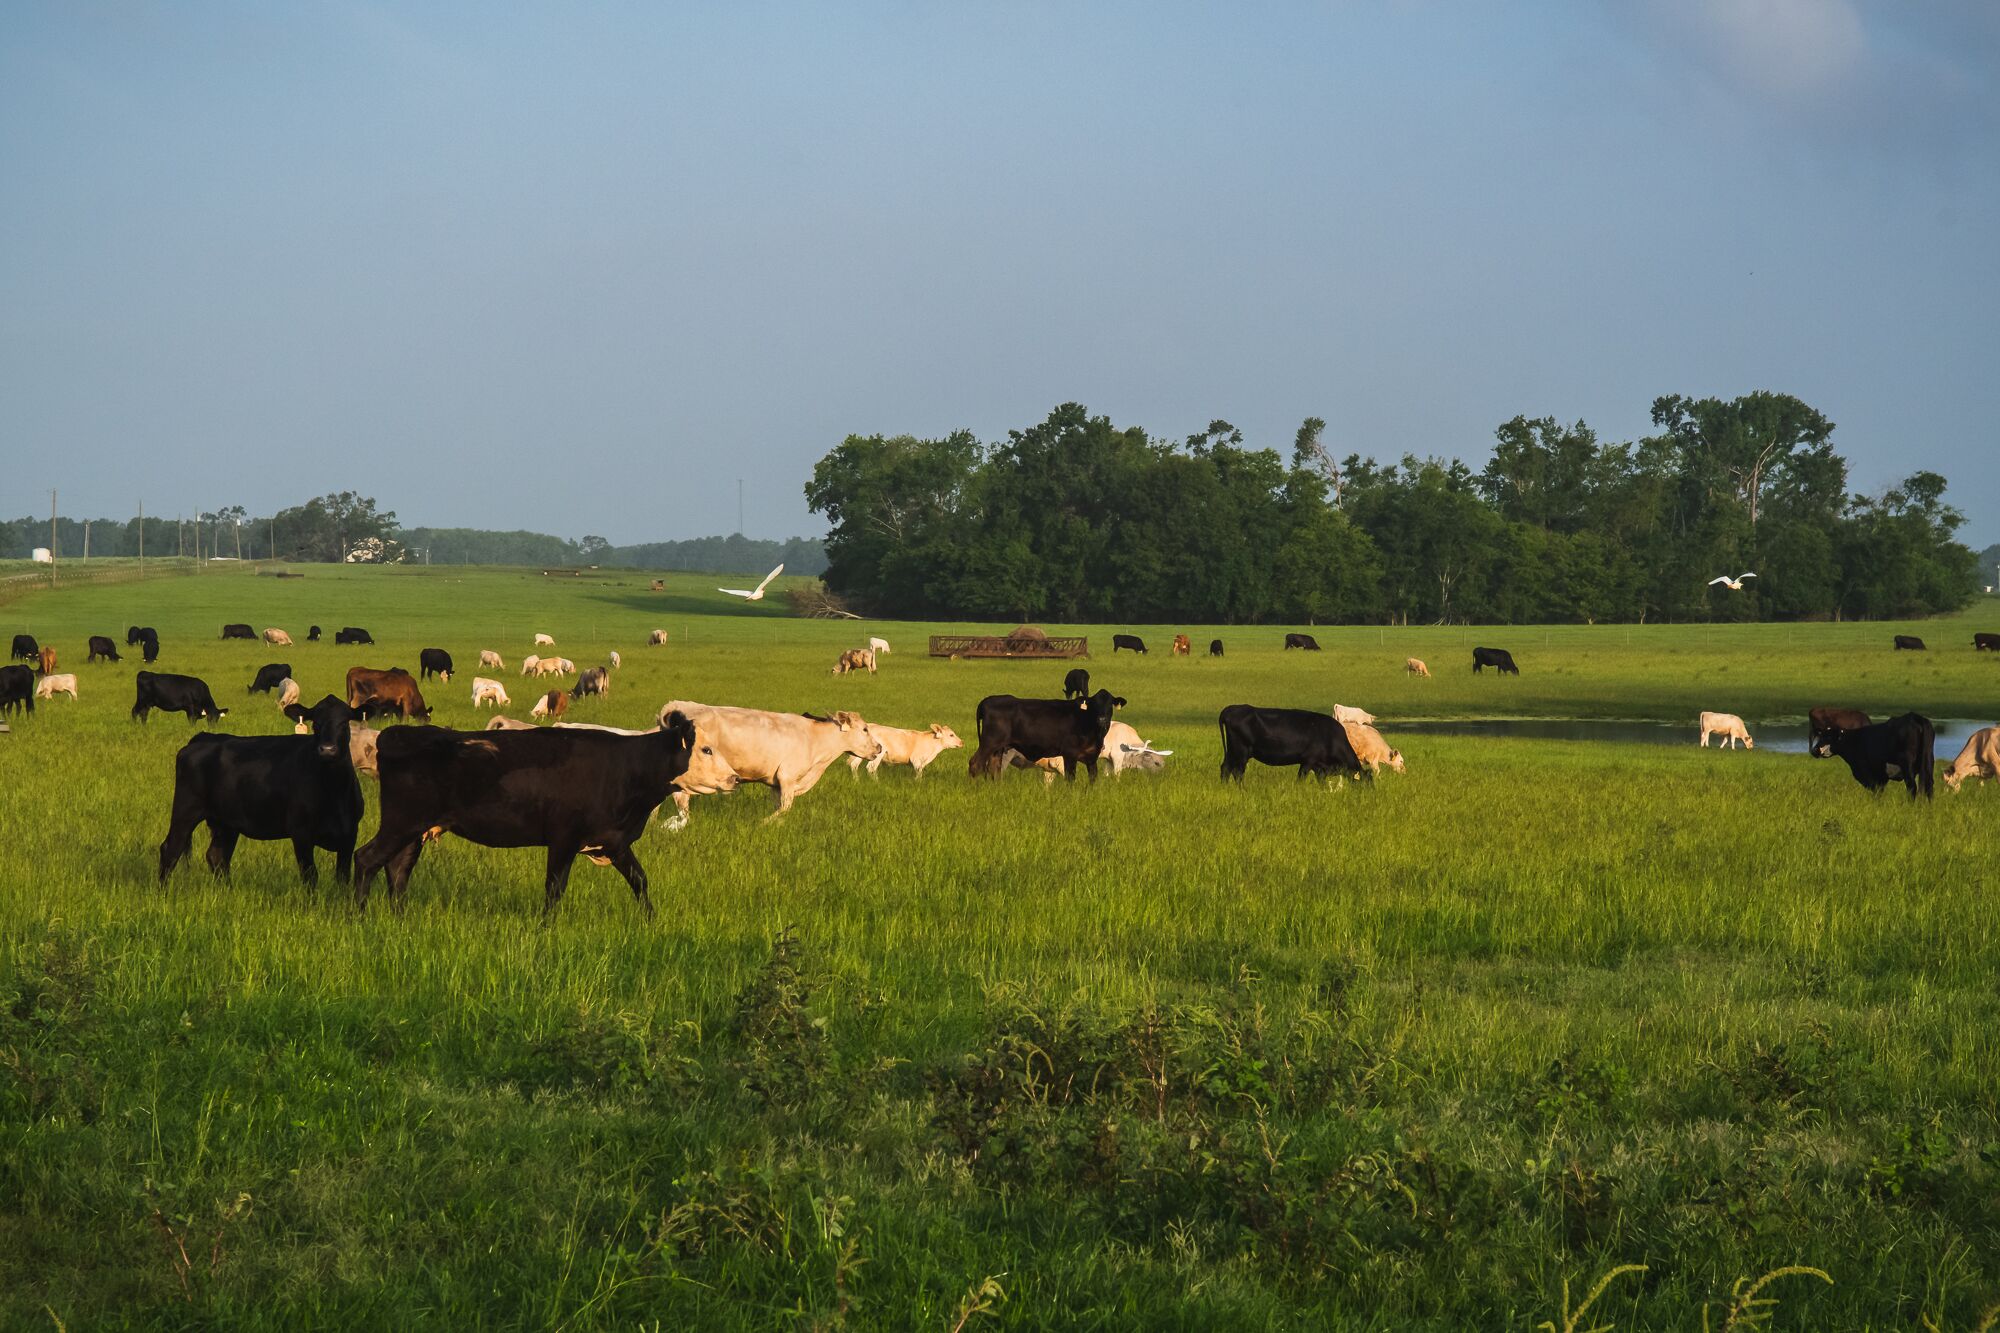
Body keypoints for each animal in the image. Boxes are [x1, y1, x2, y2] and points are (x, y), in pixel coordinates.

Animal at [160, 694, 366, 887]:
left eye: (345, 722)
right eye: (315, 722)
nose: (327, 750)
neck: (334, 792)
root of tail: (204, 737)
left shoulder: (349, 835)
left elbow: (343, 878)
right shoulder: (301, 834)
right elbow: (310, 877)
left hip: (226, 822)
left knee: (217, 856)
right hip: (186, 810)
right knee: (170, 850)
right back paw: (164, 893)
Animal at [352, 713, 737, 918]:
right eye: (706, 749)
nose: (734, 778)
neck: (625, 766)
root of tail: (397, 733)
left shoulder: (614, 841)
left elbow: (640, 880)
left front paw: (651, 920)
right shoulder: (563, 838)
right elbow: (554, 889)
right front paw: (545, 928)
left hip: (413, 830)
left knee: (397, 870)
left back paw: (400, 918)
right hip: (400, 823)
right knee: (366, 858)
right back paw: (357, 915)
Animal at [654, 702, 877, 826]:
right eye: (865, 729)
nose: (879, 747)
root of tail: (676, 706)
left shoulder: (776, 784)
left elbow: (779, 807)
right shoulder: (787, 777)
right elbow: (785, 807)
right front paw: (762, 824)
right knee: (681, 800)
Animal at [969, 690, 1123, 780]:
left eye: (1110, 704)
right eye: (1094, 704)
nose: (1102, 719)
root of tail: (988, 700)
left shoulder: (1092, 758)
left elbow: (1093, 779)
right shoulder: (1070, 754)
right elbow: (1070, 779)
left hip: (998, 748)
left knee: (994, 769)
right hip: (989, 743)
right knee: (975, 764)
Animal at [1218, 705, 1367, 782]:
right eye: (1367, 782)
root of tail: (1231, 709)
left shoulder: (1319, 768)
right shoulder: (1308, 761)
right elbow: (1300, 780)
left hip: (1233, 750)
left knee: (1226, 768)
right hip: (1241, 751)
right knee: (1237, 771)